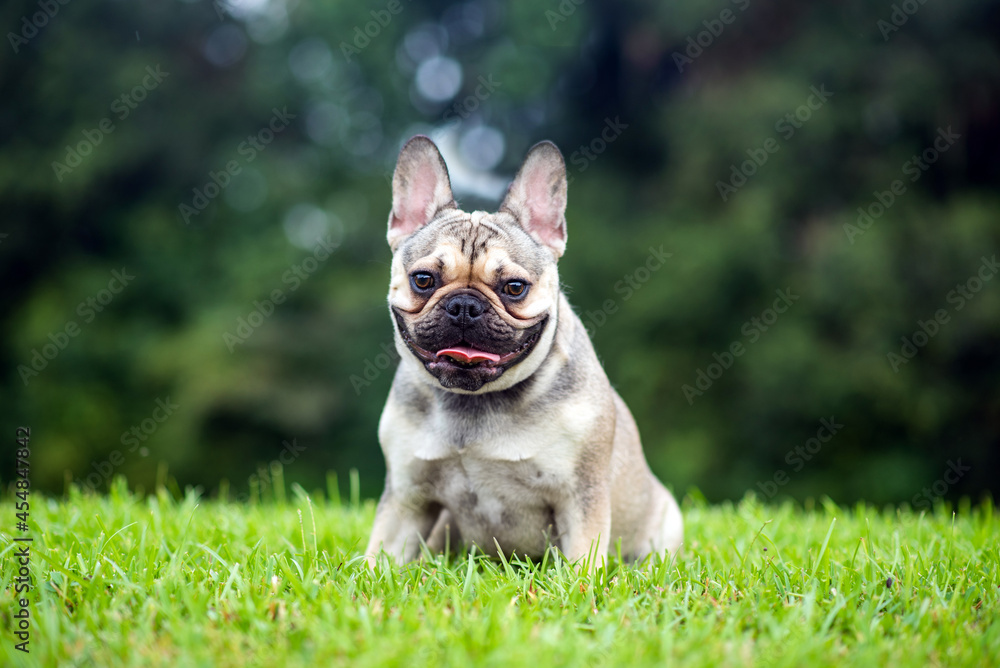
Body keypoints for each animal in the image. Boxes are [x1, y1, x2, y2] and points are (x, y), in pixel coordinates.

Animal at [364, 137, 684, 568]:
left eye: (514, 287)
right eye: (424, 280)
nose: (464, 305)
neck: (475, 401)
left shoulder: (580, 497)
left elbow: (582, 560)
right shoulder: (406, 497)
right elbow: (380, 555)